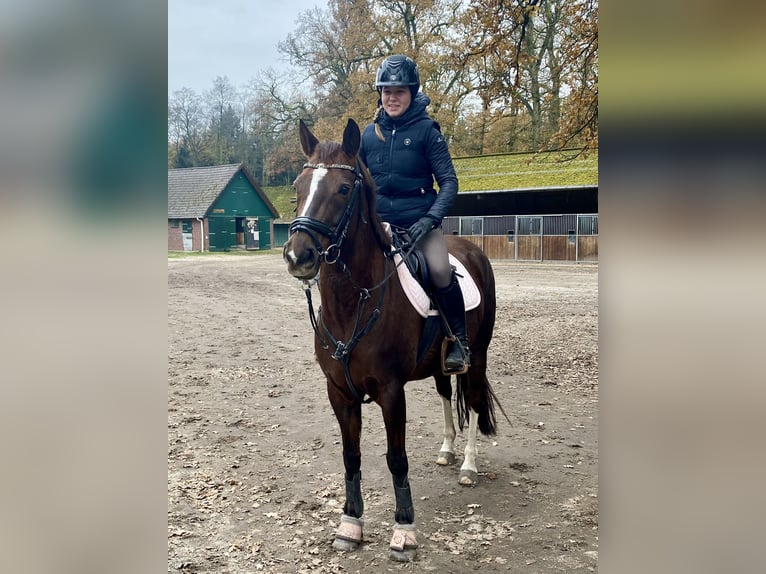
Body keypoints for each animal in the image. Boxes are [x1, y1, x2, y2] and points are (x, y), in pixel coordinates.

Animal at [282, 119, 504, 564]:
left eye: (343, 189)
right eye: (298, 186)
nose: (299, 255)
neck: (354, 304)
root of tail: (472, 250)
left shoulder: (390, 391)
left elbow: (396, 459)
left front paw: (404, 531)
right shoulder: (339, 392)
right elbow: (351, 457)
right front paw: (350, 524)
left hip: (478, 356)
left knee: (472, 401)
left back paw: (469, 466)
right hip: (439, 364)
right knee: (445, 393)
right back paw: (447, 450)